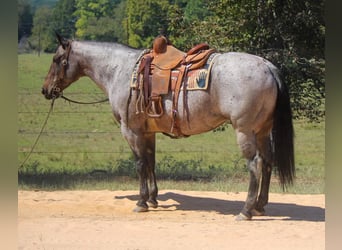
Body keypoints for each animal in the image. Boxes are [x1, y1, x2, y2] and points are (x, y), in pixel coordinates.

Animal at [42, 34, 294, 220]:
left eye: (56, 59)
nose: (45, 90)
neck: (119, 70)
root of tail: (268, 66)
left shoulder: (131, 131)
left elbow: (140, 164)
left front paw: (141, 201)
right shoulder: (148, 131)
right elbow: (151, 161)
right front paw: (153, 199)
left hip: (245, 131)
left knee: (255, 164)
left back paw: (246, 210)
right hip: (262, 130)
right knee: (268, 162)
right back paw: (260, 206)